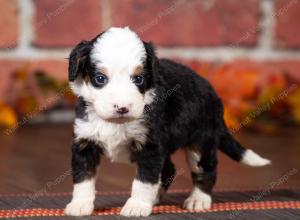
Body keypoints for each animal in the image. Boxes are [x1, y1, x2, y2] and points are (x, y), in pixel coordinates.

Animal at [64, 27, 270, 217]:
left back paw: (198, 200)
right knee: (169, 170)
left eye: (138, 79)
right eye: (100, 78)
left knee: (206, 170)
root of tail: (215, 96)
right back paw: (155, 198)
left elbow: (144, 180)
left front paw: (137, 206)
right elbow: (83, 178)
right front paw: (79, 205)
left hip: (201, 143)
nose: (122, 108)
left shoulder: (150, 146)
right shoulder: (85, 142)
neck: (116, 123)